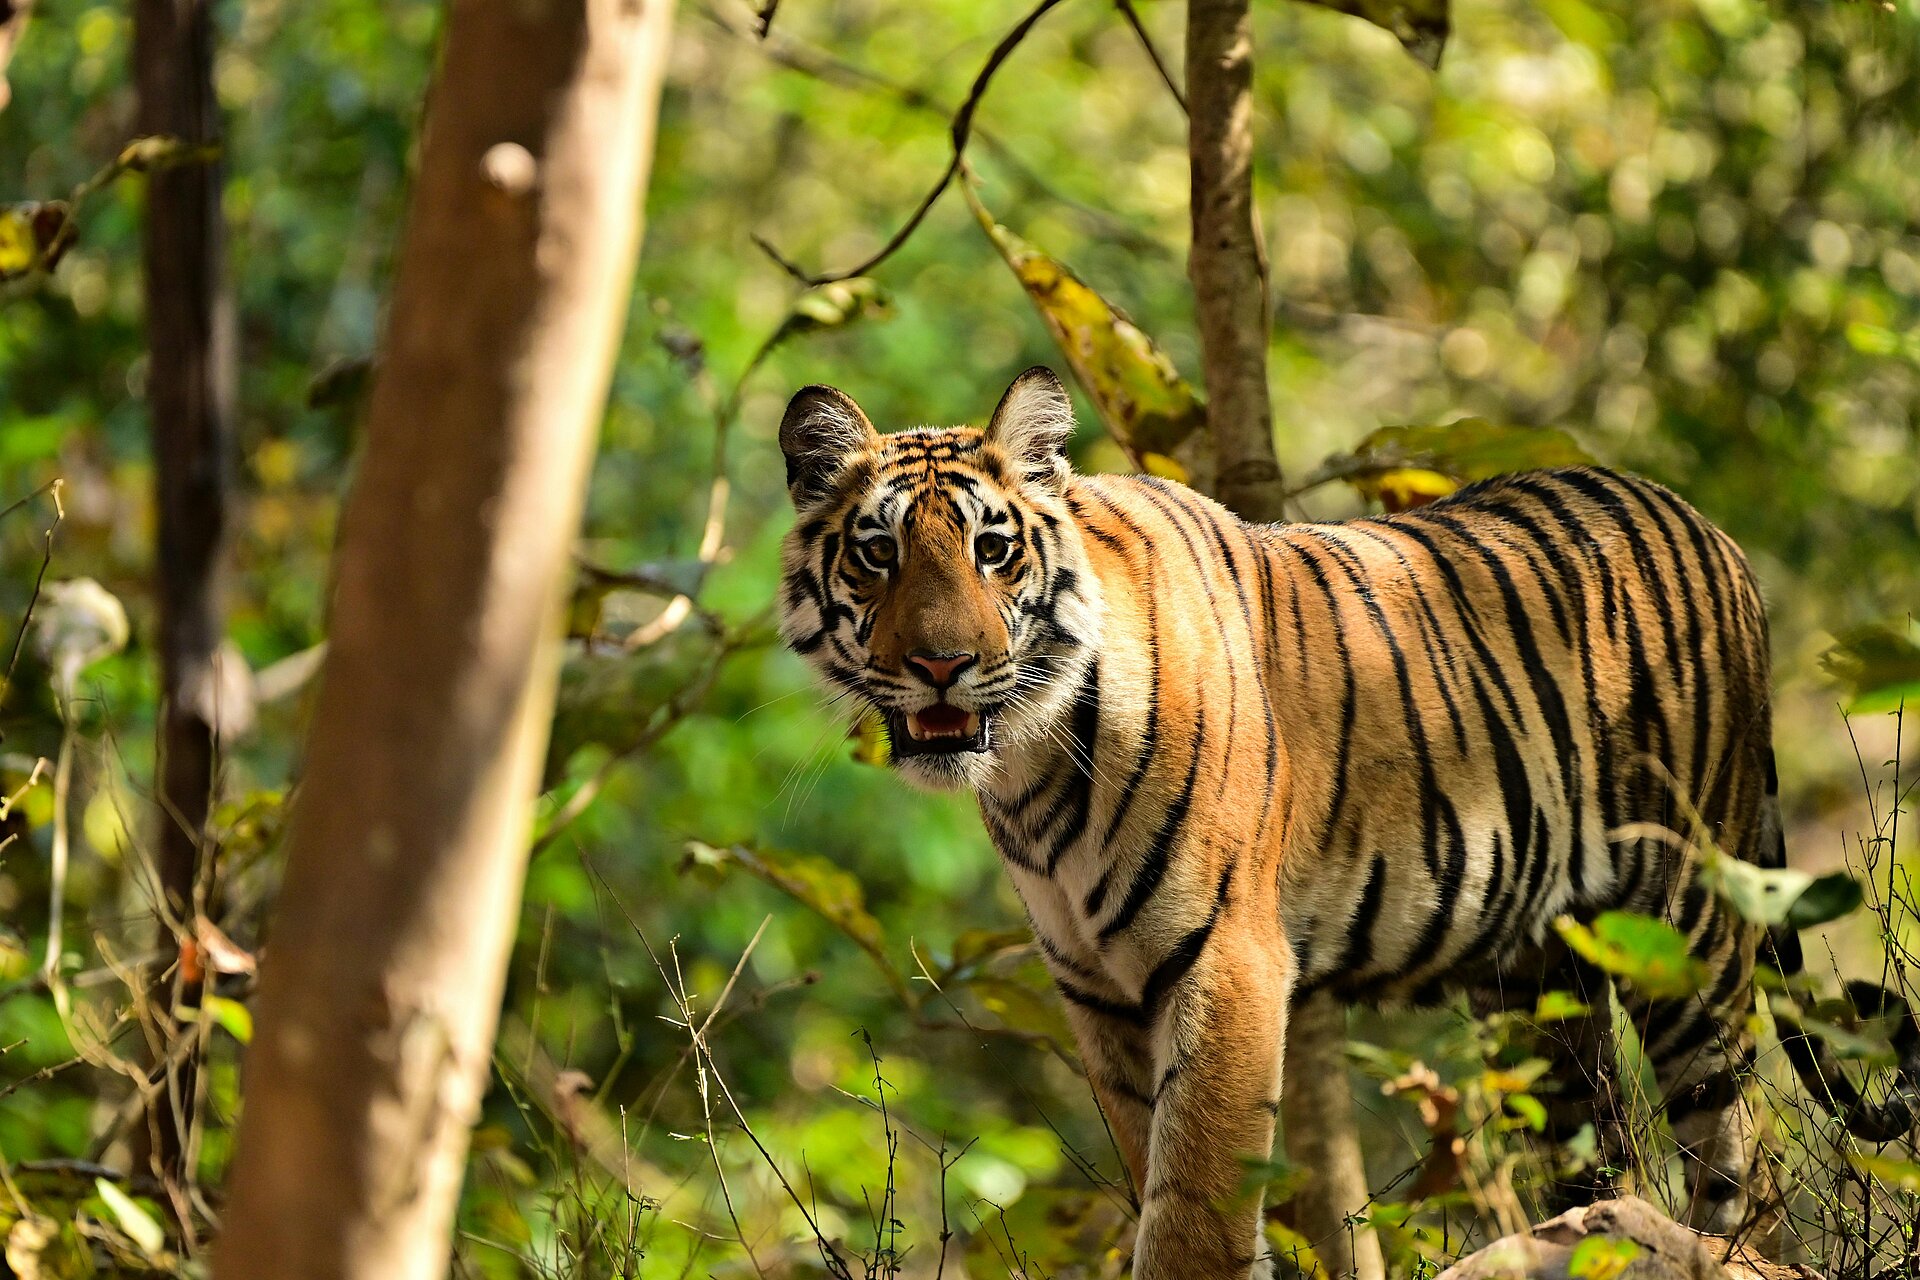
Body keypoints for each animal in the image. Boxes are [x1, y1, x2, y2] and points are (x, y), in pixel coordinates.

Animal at [774, 366, 1920, 1279]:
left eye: (993, 549)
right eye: (876, 554)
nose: (941, 663)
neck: (1033, 762)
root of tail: (1714, 532)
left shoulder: (1226, 960)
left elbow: (1193, 1208)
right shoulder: (1097, 990)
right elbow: (1160, 1175)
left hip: (1684, 931)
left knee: (1742, 1158)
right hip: (1539, 982)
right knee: (1599, 1154)